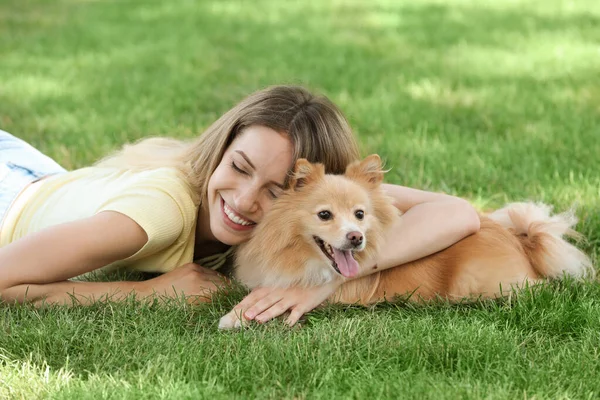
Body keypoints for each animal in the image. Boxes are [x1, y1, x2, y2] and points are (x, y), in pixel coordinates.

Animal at [218, 154, 592, 328]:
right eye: (325, 215)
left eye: (360, 215)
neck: (296, 254)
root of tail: (521, 240)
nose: (356, 237)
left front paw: (231, 318)